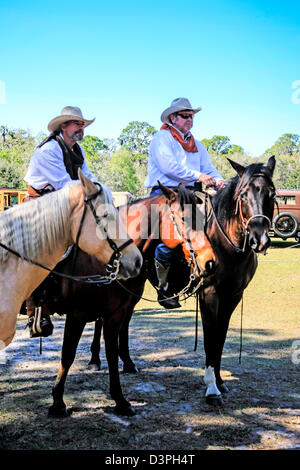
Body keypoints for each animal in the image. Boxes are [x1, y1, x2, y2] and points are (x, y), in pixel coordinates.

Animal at [37, 183, 216, 414]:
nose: (210, 262)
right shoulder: (77, 314)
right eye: (184, 218)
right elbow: (68, 354)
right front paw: (58, 402)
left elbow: (112, 351)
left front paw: (120, 399)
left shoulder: (118, 310)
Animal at [86, 156, 276, 406]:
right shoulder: (209, 295)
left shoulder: (233, 296)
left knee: (124, 320)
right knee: (102, 318)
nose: (259, 238)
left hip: (134, 285)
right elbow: (210, 338)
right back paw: (95, 360)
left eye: (272, 193)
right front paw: (211, 388)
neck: (227, 245)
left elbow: (221, 337)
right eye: (243, 195)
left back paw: (127, 363)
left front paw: (219, 381)